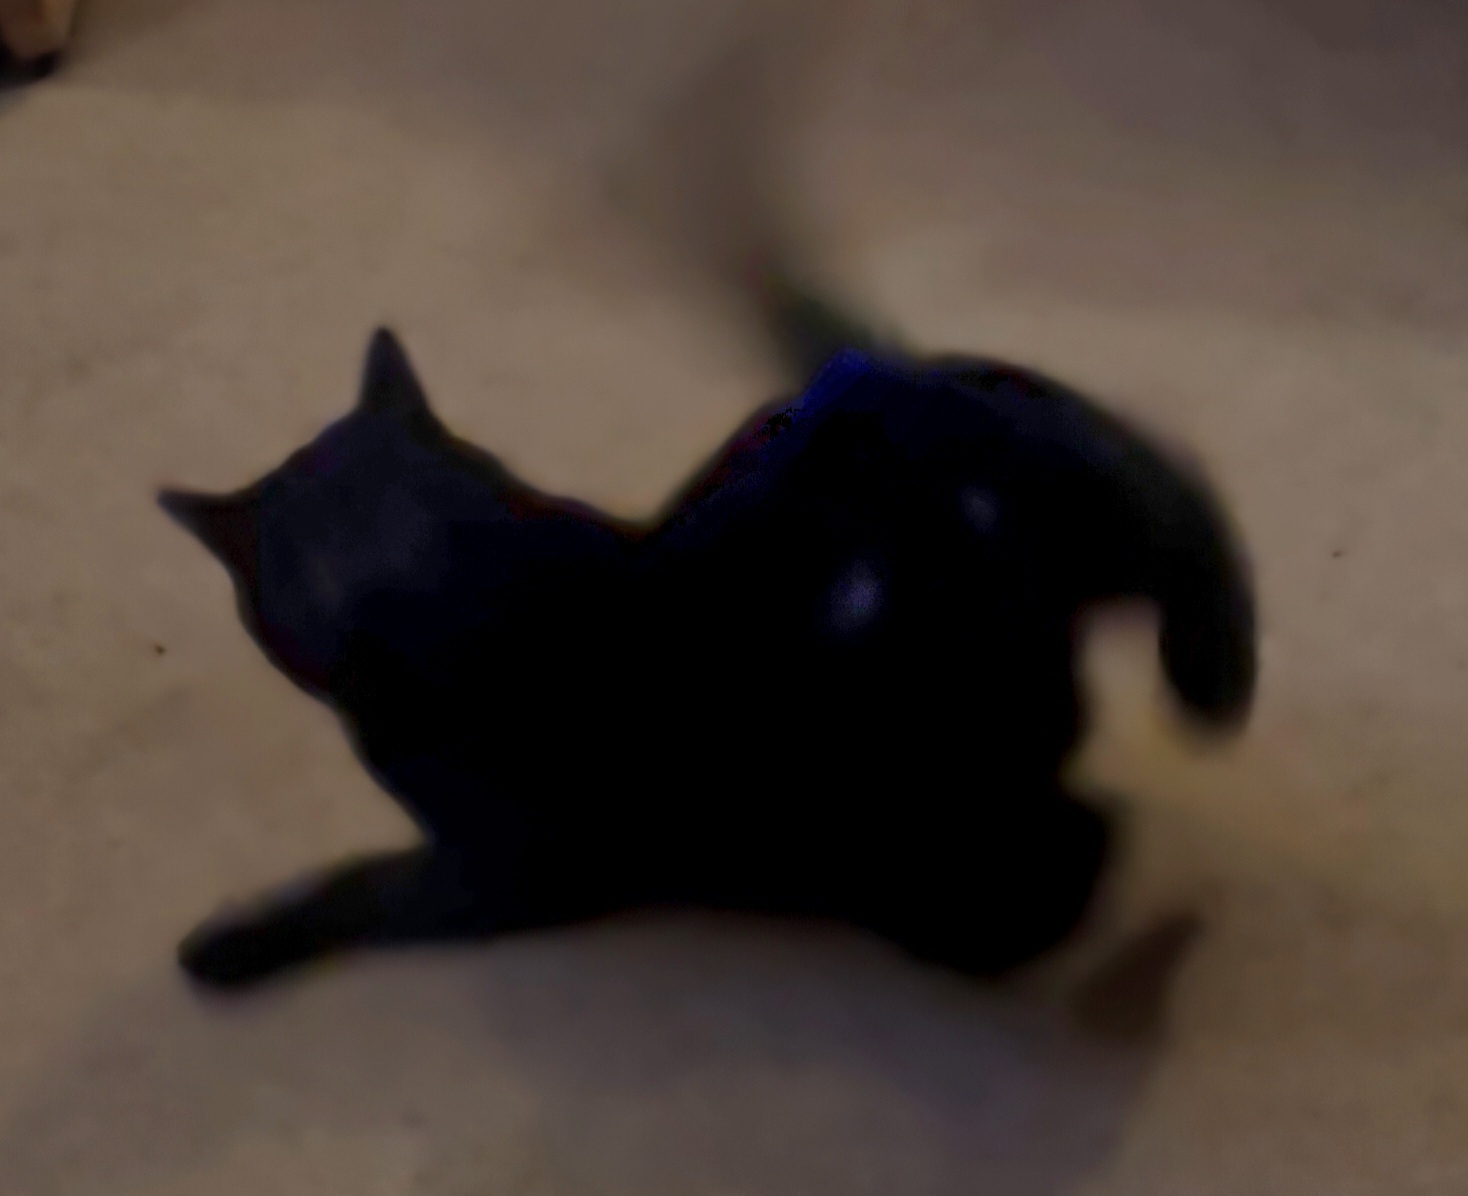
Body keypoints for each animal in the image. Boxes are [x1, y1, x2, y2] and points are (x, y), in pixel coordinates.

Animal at [158, 272, 1255, 993]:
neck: (445, 571)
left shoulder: (492, 872)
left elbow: (365, 889)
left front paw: (222, 949)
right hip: (1086, 495)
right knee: (1182, 495)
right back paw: (1211, 680)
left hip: (921, 860)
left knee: (1070, 848)